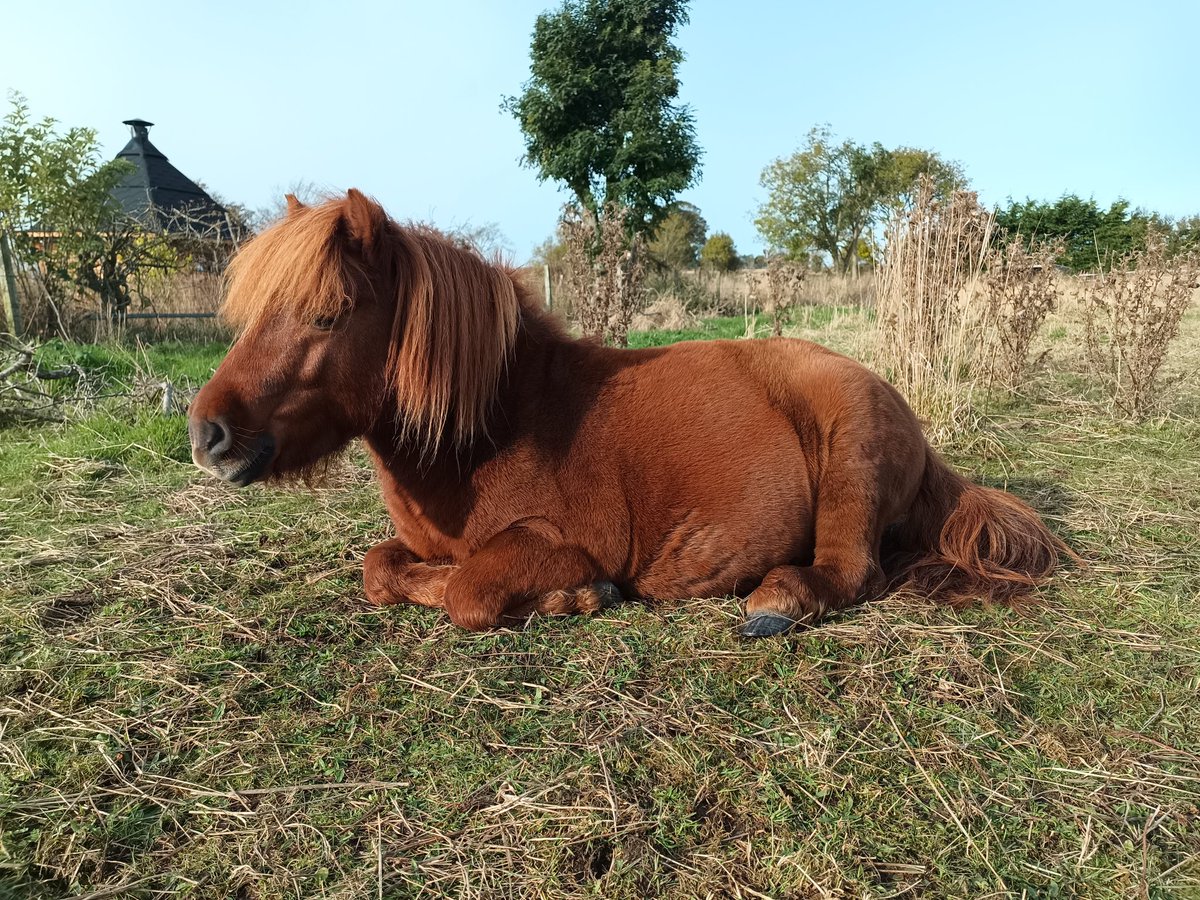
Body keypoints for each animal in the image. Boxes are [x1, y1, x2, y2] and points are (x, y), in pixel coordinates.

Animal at [188, 190, 1067, 637]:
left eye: (327, 316)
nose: (208, 435)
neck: (492, 430)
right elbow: (381, 571)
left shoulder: (557, 543)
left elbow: (470, 591)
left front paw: (575, 598)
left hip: (849, 457)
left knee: (851, 572)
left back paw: (774, 602)